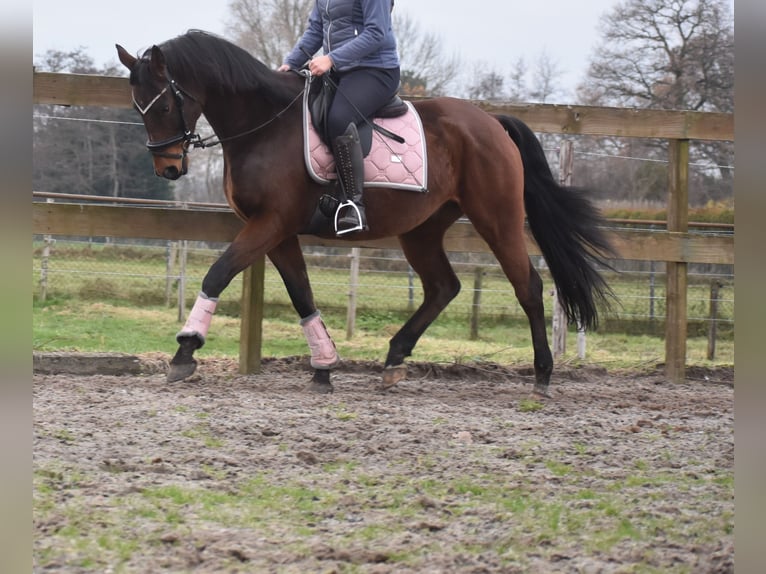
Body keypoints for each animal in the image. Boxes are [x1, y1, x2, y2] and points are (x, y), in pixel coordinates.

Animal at [115, 29, 616, 398]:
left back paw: (543, 375)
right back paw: (394, 359)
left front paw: (185, 351)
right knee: (443, 287)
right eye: (138, 108)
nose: (168, 168)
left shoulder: (270, 224)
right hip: (422, 229)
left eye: (164, 103)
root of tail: (492, 122)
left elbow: (217, 273)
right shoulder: (278, 231)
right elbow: (302, 294)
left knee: (527, 286)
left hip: (497, 217)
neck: (264, 124)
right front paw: (324, 366)